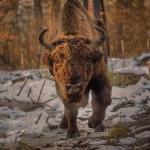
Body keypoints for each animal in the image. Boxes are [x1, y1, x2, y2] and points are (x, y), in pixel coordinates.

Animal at [38, 0, 112, 138]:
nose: (73, 87)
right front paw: (72, 133)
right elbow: (70, 109)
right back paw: (63, 124)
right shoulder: (60, 86)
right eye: (57, 61)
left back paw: (100, 126)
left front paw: (93, 123)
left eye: (88, 60)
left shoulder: (101, 76)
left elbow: (102, 99)